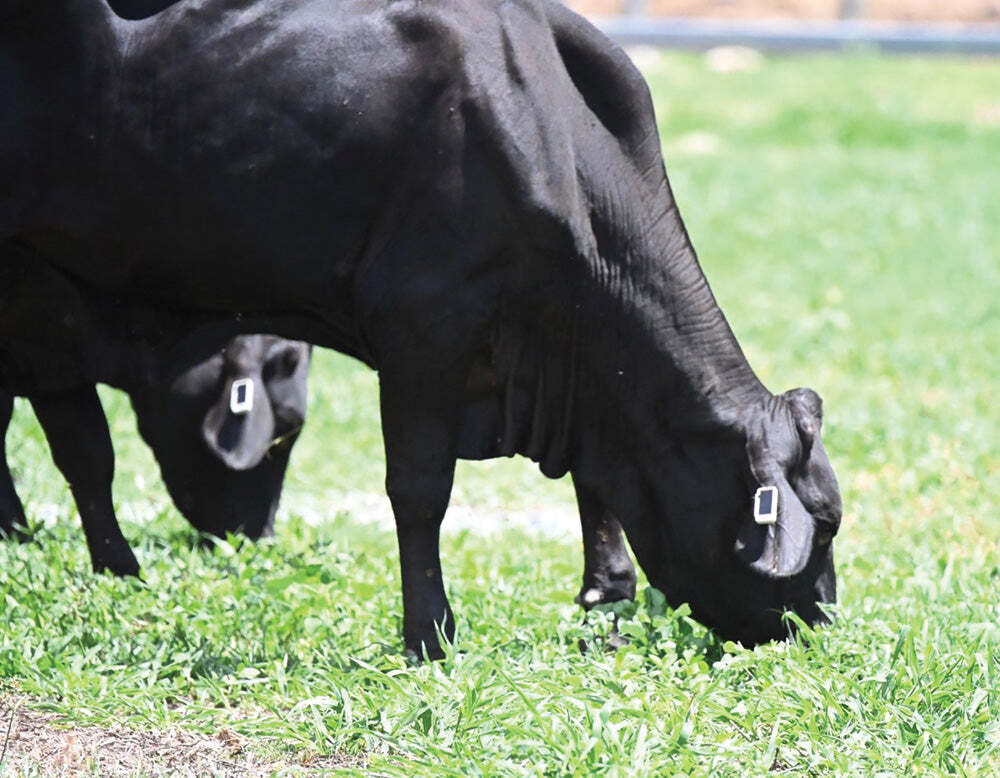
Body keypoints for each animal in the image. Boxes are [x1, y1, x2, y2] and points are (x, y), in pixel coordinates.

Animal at [0, 0, 842, 656]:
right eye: (825, 528)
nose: (821, 625)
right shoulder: (423, 330)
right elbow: (418, 488)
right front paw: (429, 634)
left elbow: (592, 486)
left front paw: (606, 594)